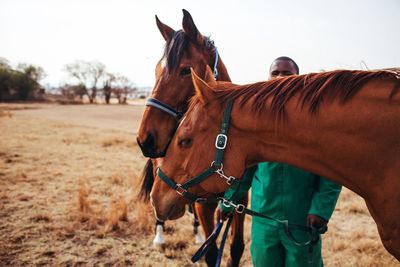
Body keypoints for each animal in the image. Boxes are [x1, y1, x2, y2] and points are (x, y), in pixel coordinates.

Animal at [136, 10, 245, 267]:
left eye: (186, 70)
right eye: (156, 70)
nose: (146, 138)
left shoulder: (239, 201)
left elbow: (236, 247)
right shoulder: (203, 204)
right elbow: (212, 254)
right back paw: (159, 237)